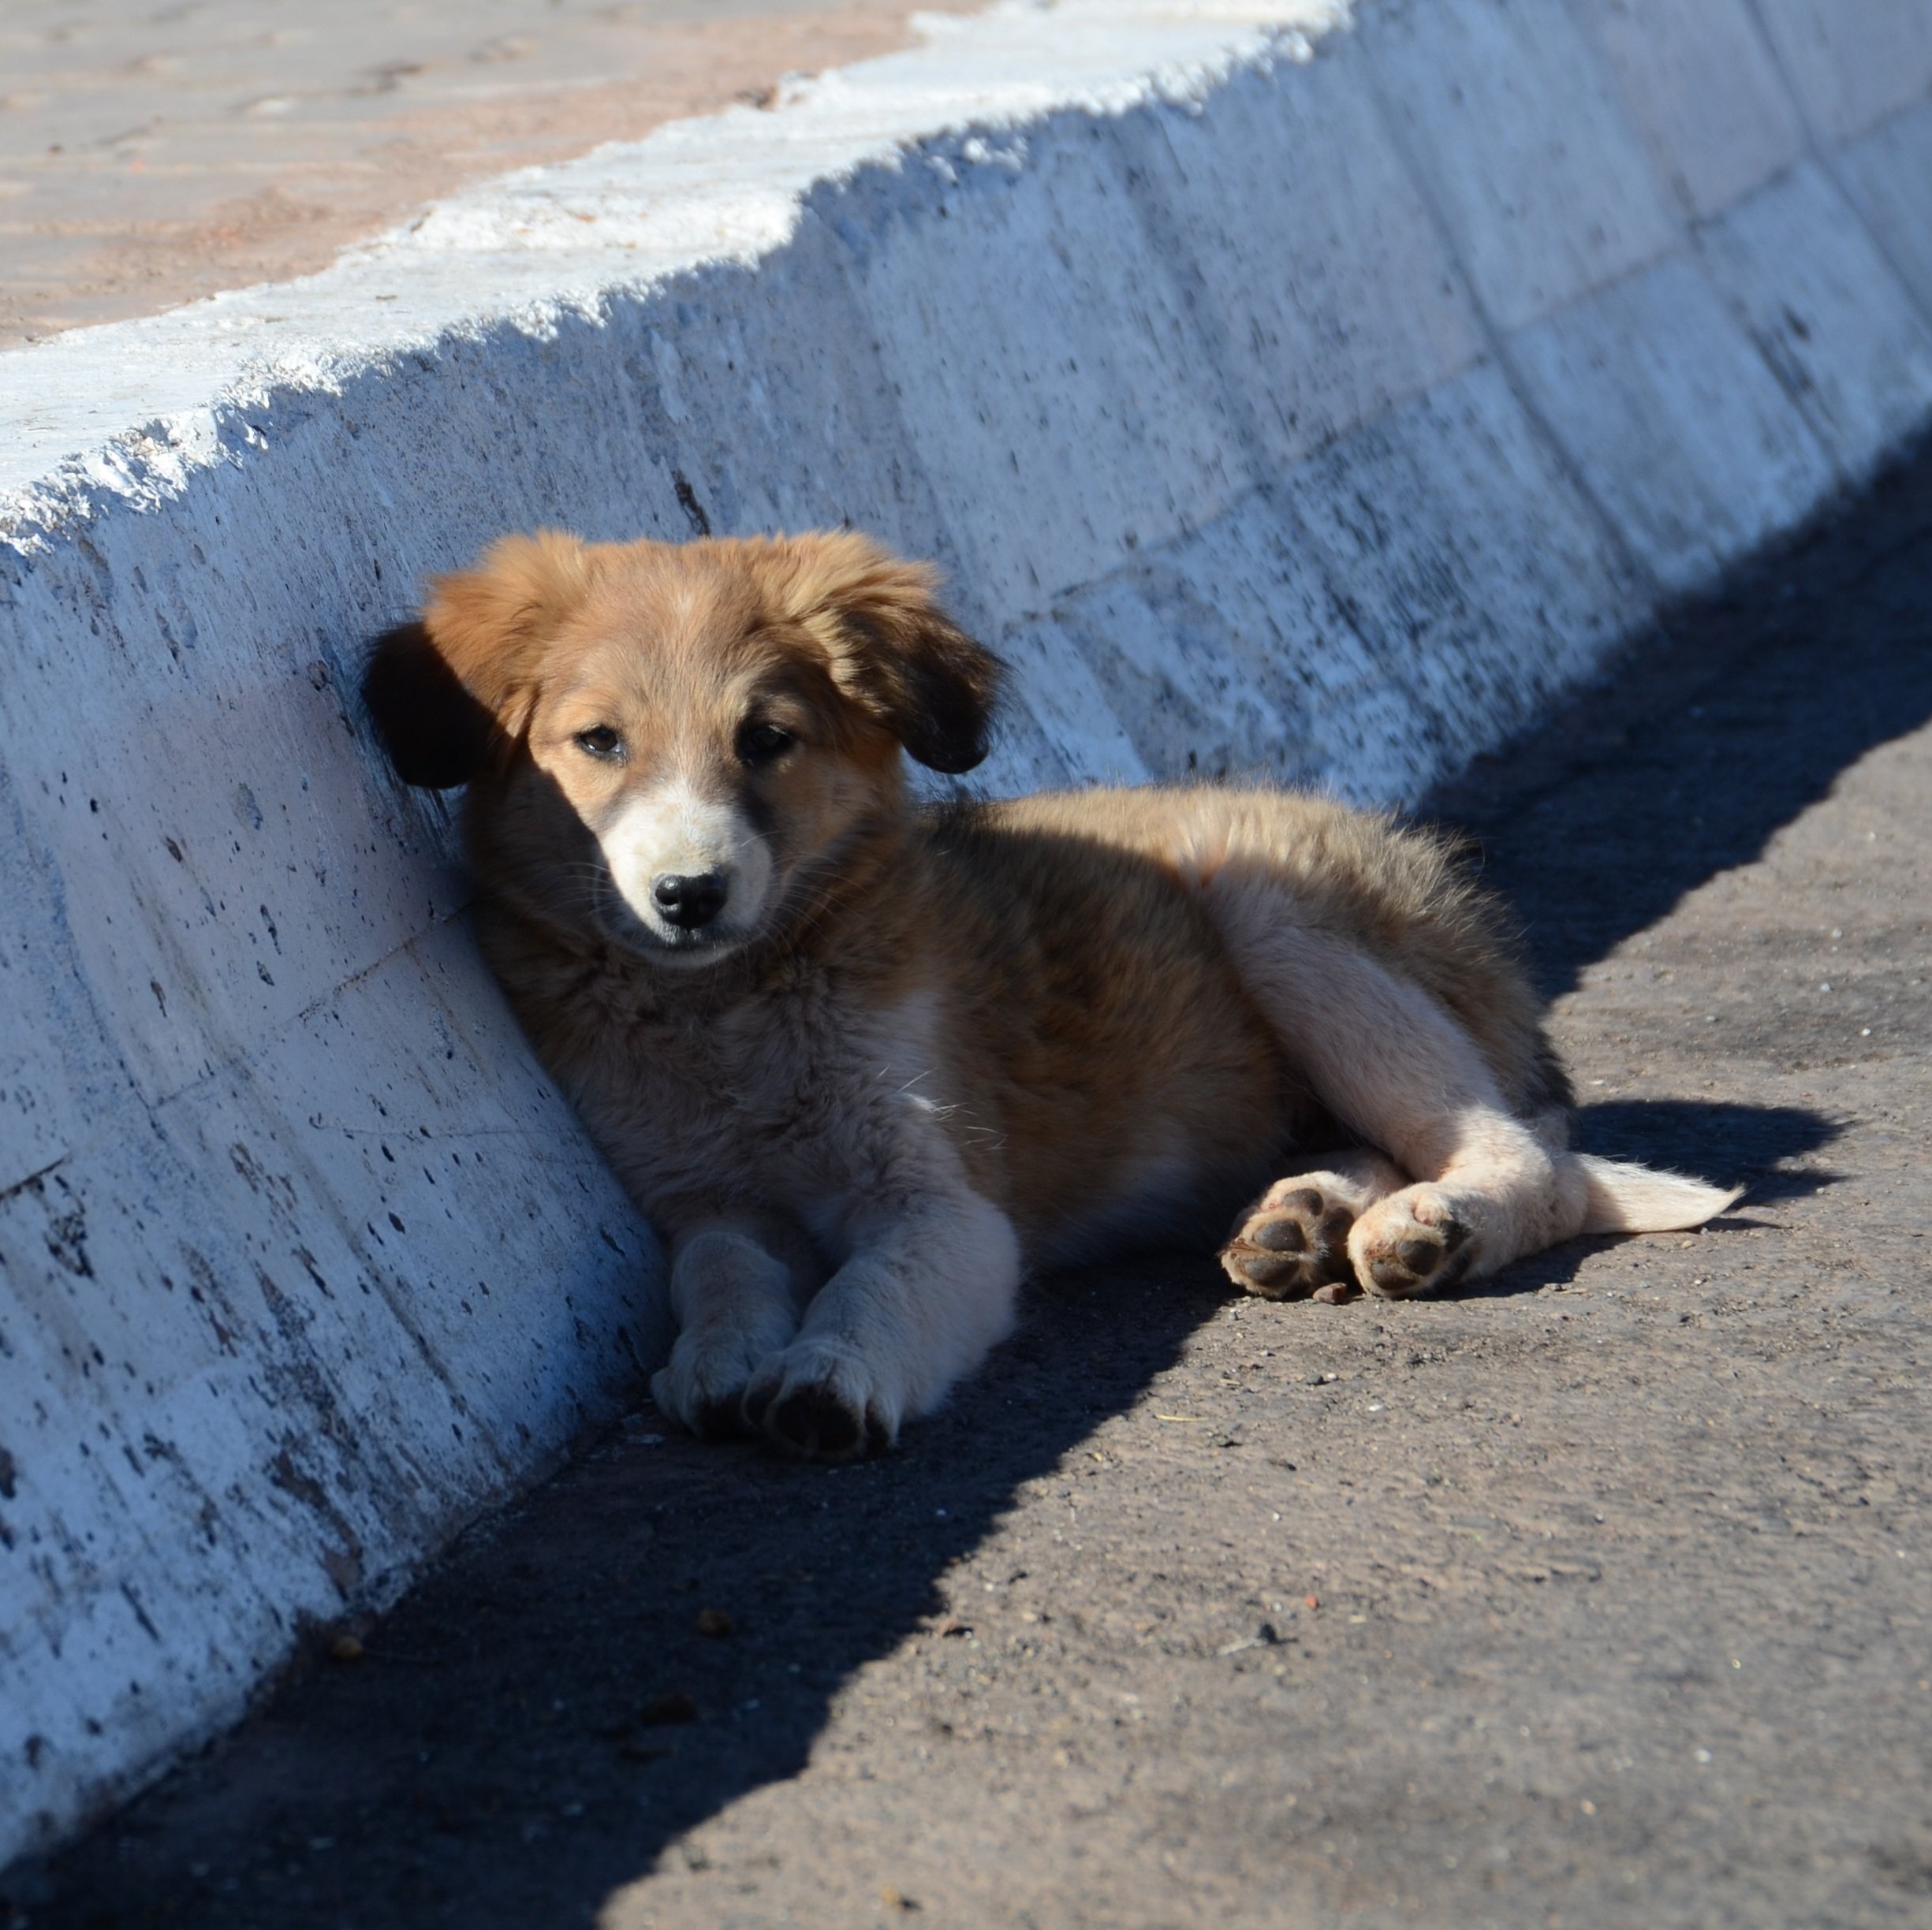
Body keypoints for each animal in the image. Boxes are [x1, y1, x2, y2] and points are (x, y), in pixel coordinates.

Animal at [363, 529, 1739, 1460]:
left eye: (767, 741)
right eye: (598, 744)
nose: (687, 896)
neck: (734, 1007)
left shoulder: (944, 1203)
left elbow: (875, 1288)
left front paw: (823, 1379)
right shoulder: (701, 1195)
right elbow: (719, 1272)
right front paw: (720, 1358)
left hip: (1272, 905)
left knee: (1529, 1159)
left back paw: (1427, 1228)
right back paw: (1301, 1218)